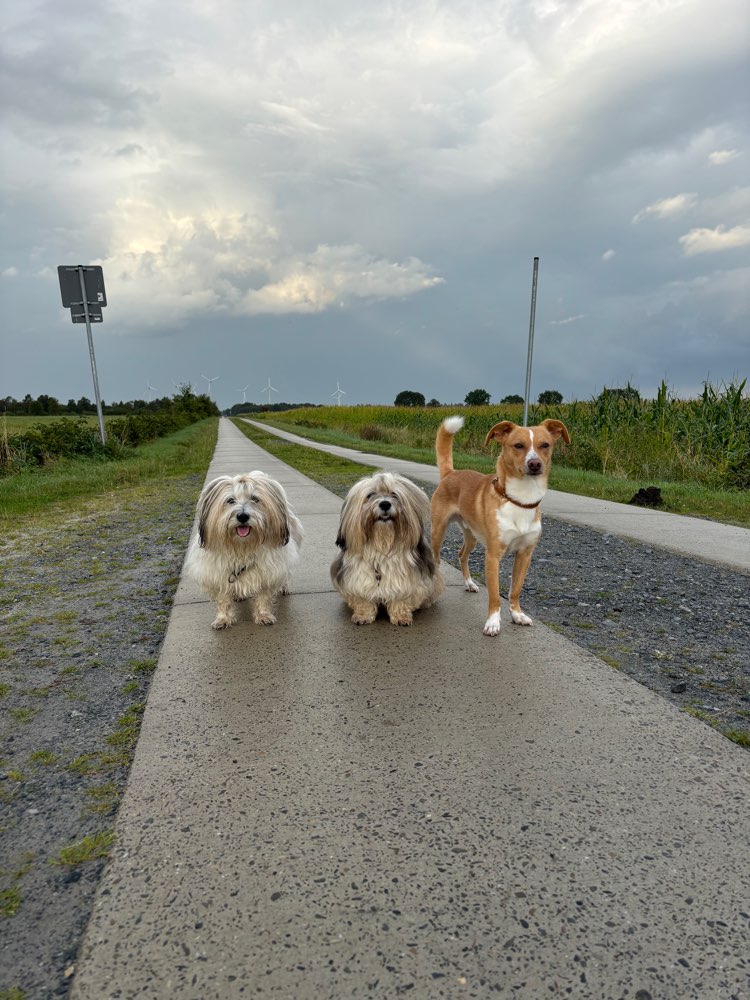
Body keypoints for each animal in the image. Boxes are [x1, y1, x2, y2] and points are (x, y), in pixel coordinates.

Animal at [187, 472, 304, 628]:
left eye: (254, 498)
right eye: (230, 500)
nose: (242, 516)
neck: (242, 548)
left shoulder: (267, 572)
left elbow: (263, 597)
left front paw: (263, 615)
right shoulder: (217, 573)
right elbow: (223, 600)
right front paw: (223, 619)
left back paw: (283, 587)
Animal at [332, 470, 444, 624]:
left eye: (394, 494)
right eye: (370, 495)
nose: (385, 504)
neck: (382, 547)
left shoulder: (407, 582)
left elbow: (401, 599)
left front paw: (401, 616)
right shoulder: (357, 580)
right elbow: (363, 600)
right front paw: (363, 615)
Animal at [432, 416, 572, 636]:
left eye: (545, 445)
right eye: (518, 445)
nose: (534, 463)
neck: (519, 500)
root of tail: (450, 473)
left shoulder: (525, 555)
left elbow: (515, 589)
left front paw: (517, 614)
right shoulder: (493, 556)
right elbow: (495, 594)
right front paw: (493, 622)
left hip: (471, 535)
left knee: (462, 554)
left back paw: (469, 583)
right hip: (438, 530)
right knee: (436, 559)